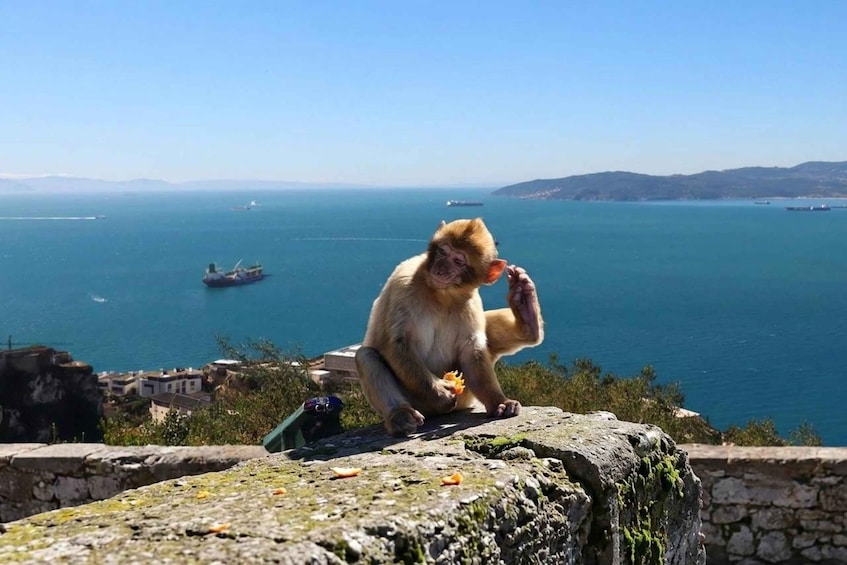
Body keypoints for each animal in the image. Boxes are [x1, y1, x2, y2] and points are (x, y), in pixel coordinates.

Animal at [355, 217, 544, 436]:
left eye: (458, 261)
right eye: (443, 252)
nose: (440, 269)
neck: (442, 295)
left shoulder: (471, 302)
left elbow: (472, 351)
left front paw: (499, 402)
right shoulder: (402, 283)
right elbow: (395, 343)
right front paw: (439, 391)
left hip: (464, 397)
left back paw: (527, 318)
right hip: (418, 400)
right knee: (367, 356)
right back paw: (400, 416)